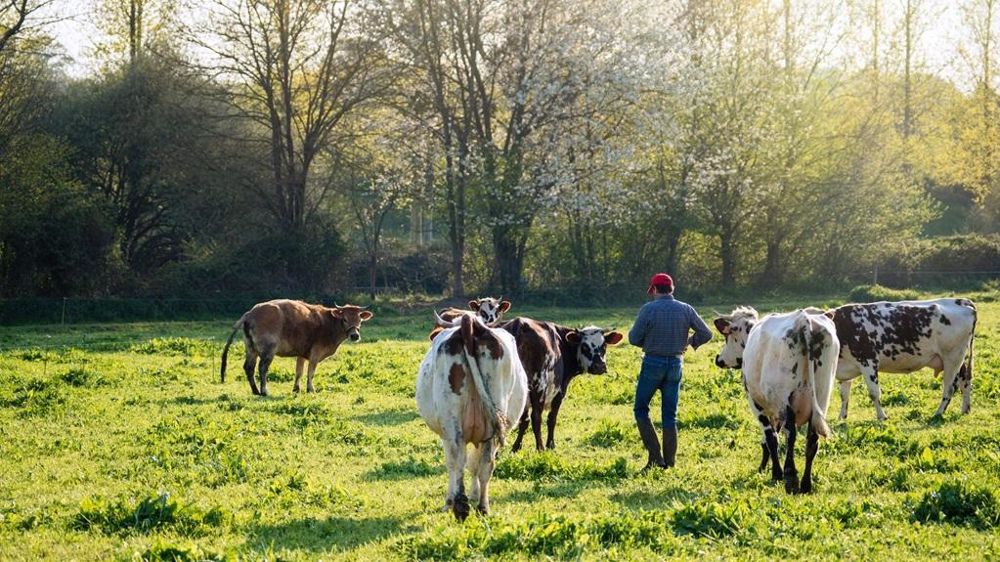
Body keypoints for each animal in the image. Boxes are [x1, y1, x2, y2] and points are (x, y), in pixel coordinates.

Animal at [220, 299, 373, 396]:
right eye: (345, 319)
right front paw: (310, 389)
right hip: (268, 350)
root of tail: (250, 313)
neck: (329, 323)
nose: (354, 335)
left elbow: (299, 371)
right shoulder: (315, 353)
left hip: (251, 349)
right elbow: (311, 372)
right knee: (262, 368)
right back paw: (264, 391)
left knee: (249, 367)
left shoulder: (302, 353)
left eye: (359, 320)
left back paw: (255, 391)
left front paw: (296, 389)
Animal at [416, 312, 528, 521]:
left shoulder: (445, 434)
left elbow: (455, 464)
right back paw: (482, 507)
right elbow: (475, 465)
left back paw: (460, 505)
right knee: (485, 464)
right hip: (493, 420)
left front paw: (449, 501)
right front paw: (474, 495)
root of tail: (470, 323)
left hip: (452, 423)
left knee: (458, 461)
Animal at [501, 317, 624, 452]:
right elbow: (551, 419)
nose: (600, 366)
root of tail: (520, 324)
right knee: (536, 417)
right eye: (584, 346)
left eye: (604, 345)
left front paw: (516, 447)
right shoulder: (559, 391)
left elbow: (523, 421)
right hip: (539, 386)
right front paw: (550, 444)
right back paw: (540, 447)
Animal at [714, 307, 839, 494]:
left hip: (785, 401)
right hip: (822, 397)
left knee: (791, 434)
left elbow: (770, 438)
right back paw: (806, 484)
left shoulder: (757, 404)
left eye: (727, 337)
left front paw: (775, 473)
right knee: (812, 439)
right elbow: (769, 439)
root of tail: (802, 319)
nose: (718, 359)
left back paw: (790, 477)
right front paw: (766, 467)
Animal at [829, 298, 977, 420]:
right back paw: (965, 409)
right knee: (965, 380)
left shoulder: (868, 362)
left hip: (952, 357)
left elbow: (874, 393)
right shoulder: (844, 367)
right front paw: (841, 417)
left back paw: (938, 414)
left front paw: (882, 416)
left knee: (950, 388)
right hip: (959, 359)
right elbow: (844, 394)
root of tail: (962, 301)